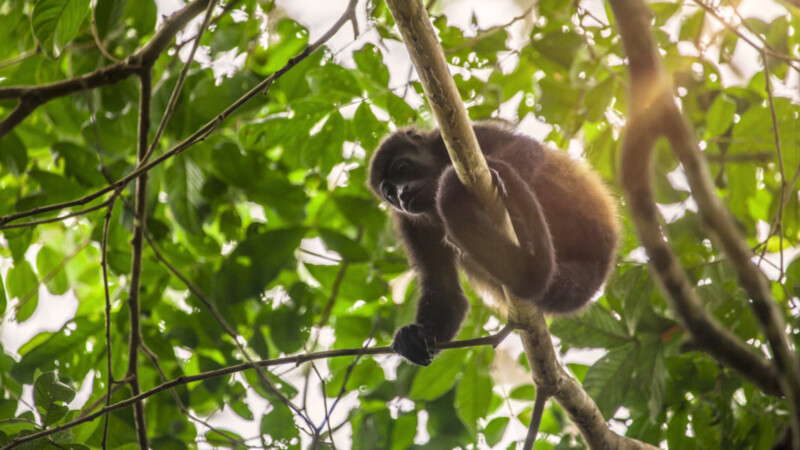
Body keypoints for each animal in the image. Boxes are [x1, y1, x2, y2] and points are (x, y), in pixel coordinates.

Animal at [368, 122, 621, 366]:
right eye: (389, 193)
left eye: (402, 169)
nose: (402, 194)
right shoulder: (409, 224)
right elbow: (444, 288)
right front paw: (414, 337)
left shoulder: (461, 136)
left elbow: (529, 148)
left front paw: (495, 173)